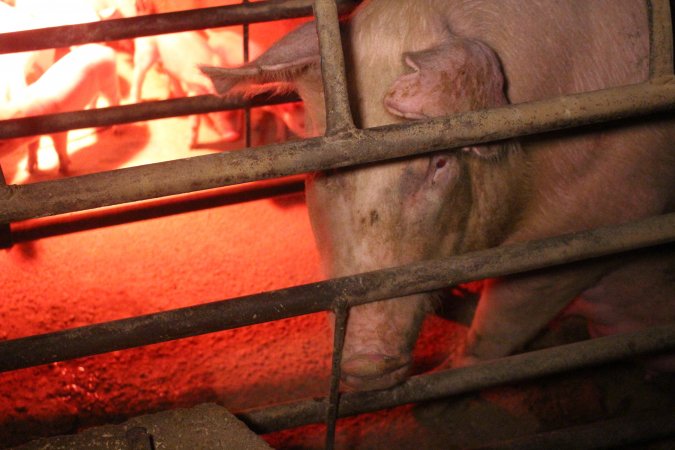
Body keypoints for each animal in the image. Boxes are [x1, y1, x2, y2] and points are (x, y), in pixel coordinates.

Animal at [0, 44, 119, 174]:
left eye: (3, 142)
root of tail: (107, 50)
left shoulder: (60, 132)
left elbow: (60, 149)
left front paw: (64, 170)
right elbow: (32, 149)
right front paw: (29, 170)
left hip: (109, 82)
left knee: (115, 99)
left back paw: (116, 131)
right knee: (95, 98)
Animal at [201, 0, 675, 390]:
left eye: (440, 162)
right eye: (330, 168)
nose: (366, 364)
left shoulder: (593, 220)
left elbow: (504, 316)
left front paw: (443, 380)